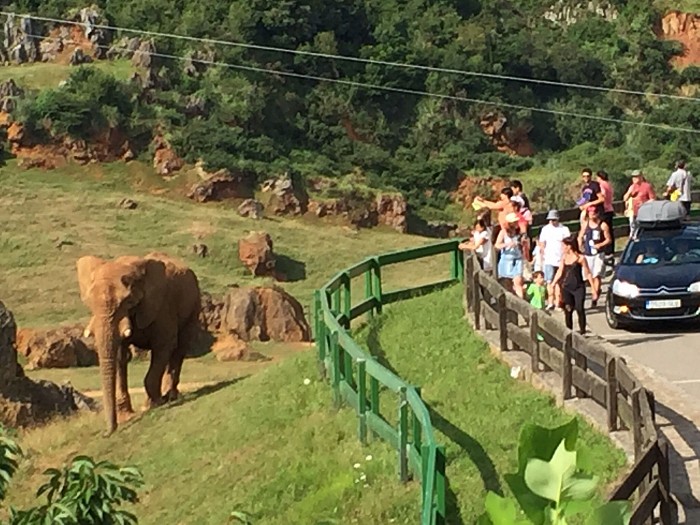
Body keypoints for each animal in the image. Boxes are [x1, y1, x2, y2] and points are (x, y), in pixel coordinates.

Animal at [77, 250, 202, 434]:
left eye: (128, 301)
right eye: (89, 303)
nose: (108, 433)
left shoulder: (161, 306)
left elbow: (164, 345)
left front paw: (154, 404)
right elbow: (120, 355)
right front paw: (127, 416)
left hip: (194, 305)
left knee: (179, 348)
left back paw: (169, 396)